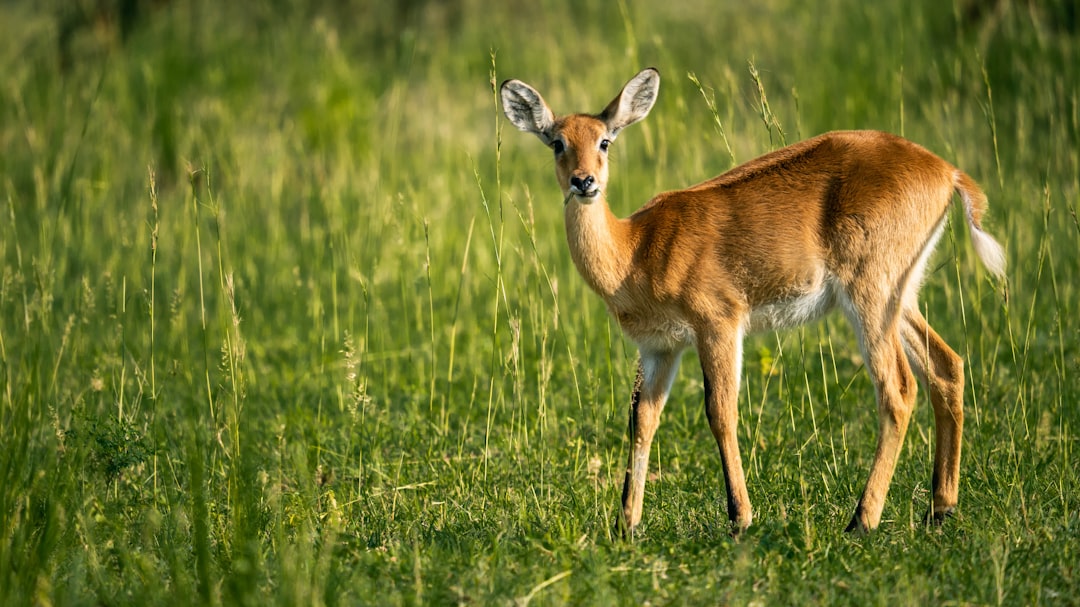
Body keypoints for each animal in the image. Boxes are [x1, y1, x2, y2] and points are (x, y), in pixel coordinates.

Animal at [500, 67, 1006, 536]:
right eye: (557, 142)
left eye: (605, 141)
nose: (584, 182)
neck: (636, 249)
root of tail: (947, 172)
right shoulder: (660, 348)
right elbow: (642, 420)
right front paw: (627, 523)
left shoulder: (718, 324)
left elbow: (720, 412)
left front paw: (739, 516)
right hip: (901, 296)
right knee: (947, 366)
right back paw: (940, 509)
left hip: (870, 295)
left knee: (898, 389)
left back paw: (861, 520)